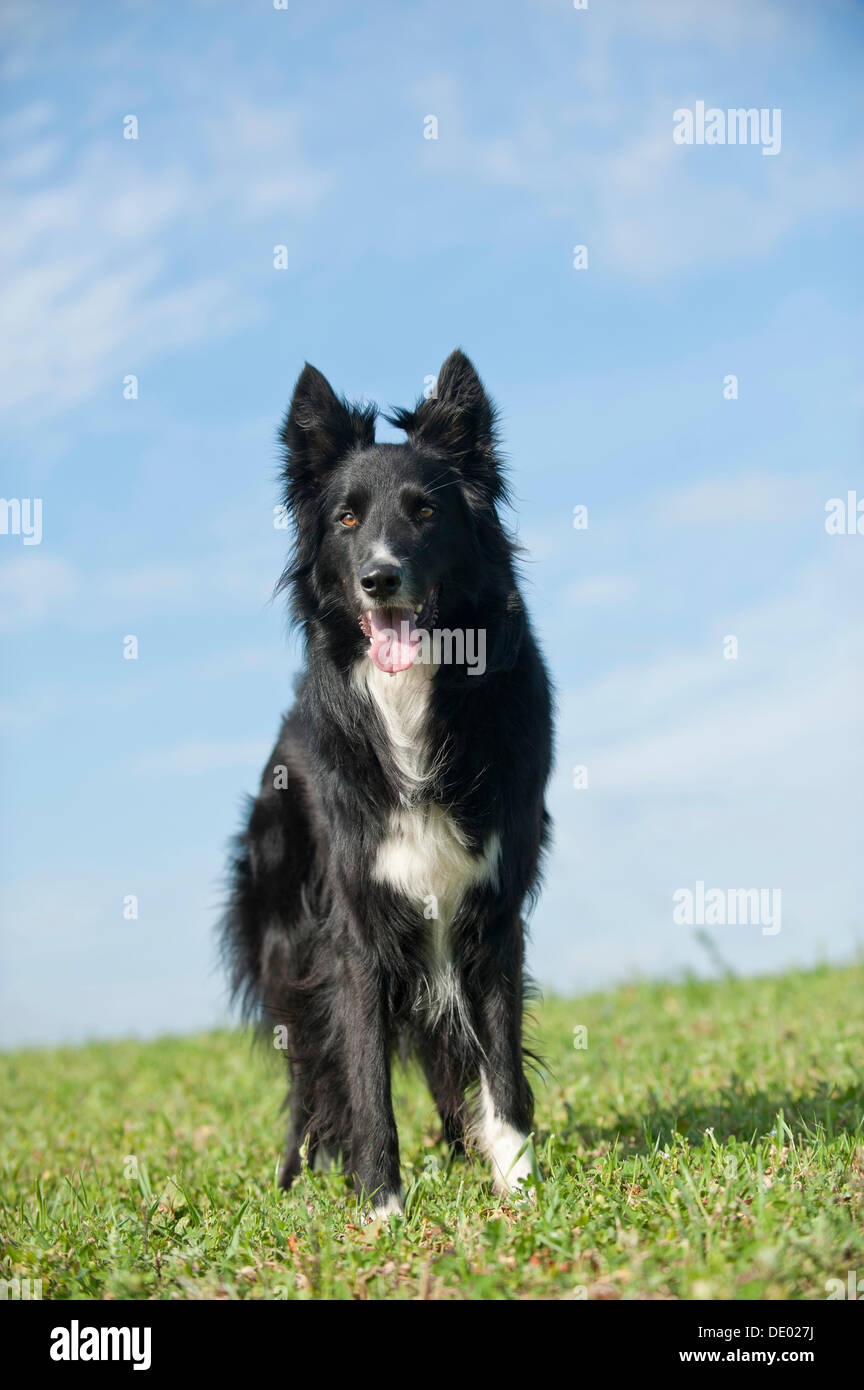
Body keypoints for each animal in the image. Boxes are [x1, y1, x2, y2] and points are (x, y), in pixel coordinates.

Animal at [219, 350, 552, 1217]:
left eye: (425, 513)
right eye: (345, 519)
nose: (380, 578)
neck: (411, 703)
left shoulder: (489, 909)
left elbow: (499, 1065)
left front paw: (518, 1188)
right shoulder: (355, 932)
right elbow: (366, 1077)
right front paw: (382, 1209)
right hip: (288, 945)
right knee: (309, 1074)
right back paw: (295, 1177)